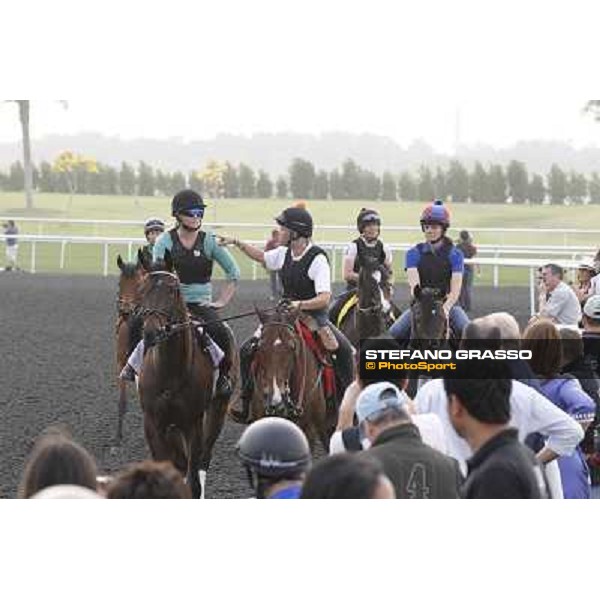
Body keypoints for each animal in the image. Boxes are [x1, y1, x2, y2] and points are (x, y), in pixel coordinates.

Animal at [137, 252, 232, 496]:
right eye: (143, 290)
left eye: (173, 290)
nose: (151, 332)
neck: (170, 370)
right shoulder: (153, 423)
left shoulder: (193, 422)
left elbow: (194, 481)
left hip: (217, 409)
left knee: (203, 458)